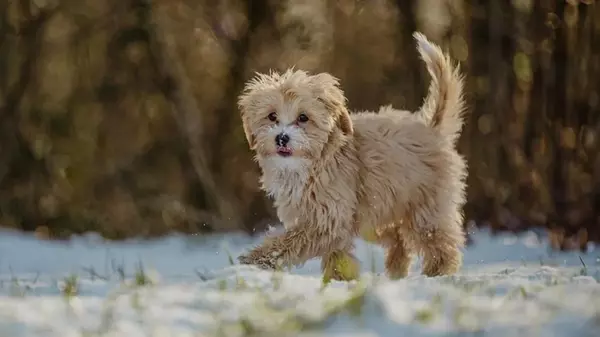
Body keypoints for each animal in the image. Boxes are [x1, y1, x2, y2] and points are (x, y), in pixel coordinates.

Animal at [237, 31, 466, 280]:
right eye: (271, 116)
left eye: (303, 118)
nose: (281, 138)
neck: (313, 164)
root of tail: (431, 128)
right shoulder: (328, 218)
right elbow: (337, 254)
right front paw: (340, 279)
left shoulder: (326, 220)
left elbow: (292, 241)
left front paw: (255, 259)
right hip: (376, 215)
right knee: (399, 238)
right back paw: (396, 271)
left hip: (426, 211)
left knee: (440, 245)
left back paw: (438, 273)